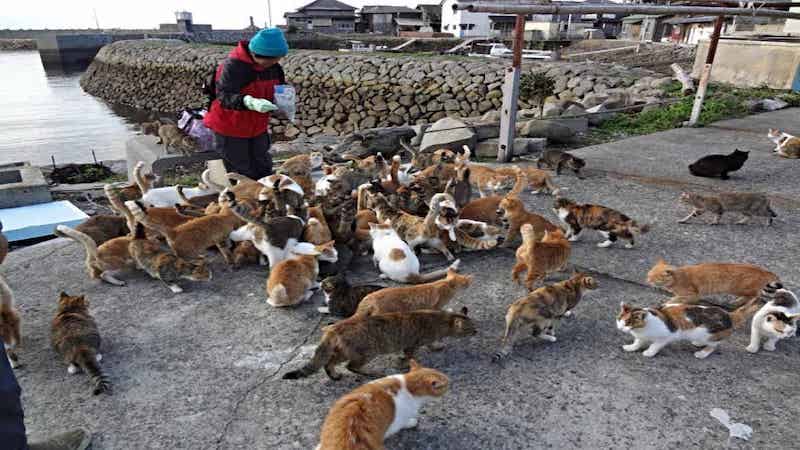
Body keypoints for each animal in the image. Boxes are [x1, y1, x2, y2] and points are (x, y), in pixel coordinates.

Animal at [284, 308, 476, 378]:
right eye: (471, 328)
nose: (477, 332)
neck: (439, 319)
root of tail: (334, 328)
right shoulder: (412, 343)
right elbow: (409, 355)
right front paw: (405, 362)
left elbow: (430, 345)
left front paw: (436, 346)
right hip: (366, 351)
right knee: (351, 366)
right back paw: (370, 373)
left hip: (343, 351)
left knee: (328, 362)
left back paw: (334, 375)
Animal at [314, 358, 450, 450]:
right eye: (446, 384)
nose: (451, 381)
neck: (407, 385)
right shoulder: (395, 424)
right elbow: (403, 424)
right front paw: (412, 422)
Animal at [620, 298, 764, 360]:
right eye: (619, 320)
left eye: (628, 322)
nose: (621, 328)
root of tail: (730, 315)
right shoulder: (641, 336)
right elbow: (637, 343)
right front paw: (631, 347)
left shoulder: (665, 337)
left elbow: (655, 346)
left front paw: (649, 353)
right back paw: (698, 343)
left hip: (710, 336)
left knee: (713, 346)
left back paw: (702, 353)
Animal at [644, 260, 780, 306]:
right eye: (648, 275)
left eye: (655, 278)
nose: (647, 281)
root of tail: (765, 271)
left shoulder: (692, 294)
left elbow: (675, 300)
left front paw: (667, 303)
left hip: (740, 289)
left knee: (755, 297)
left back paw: (739, 302)